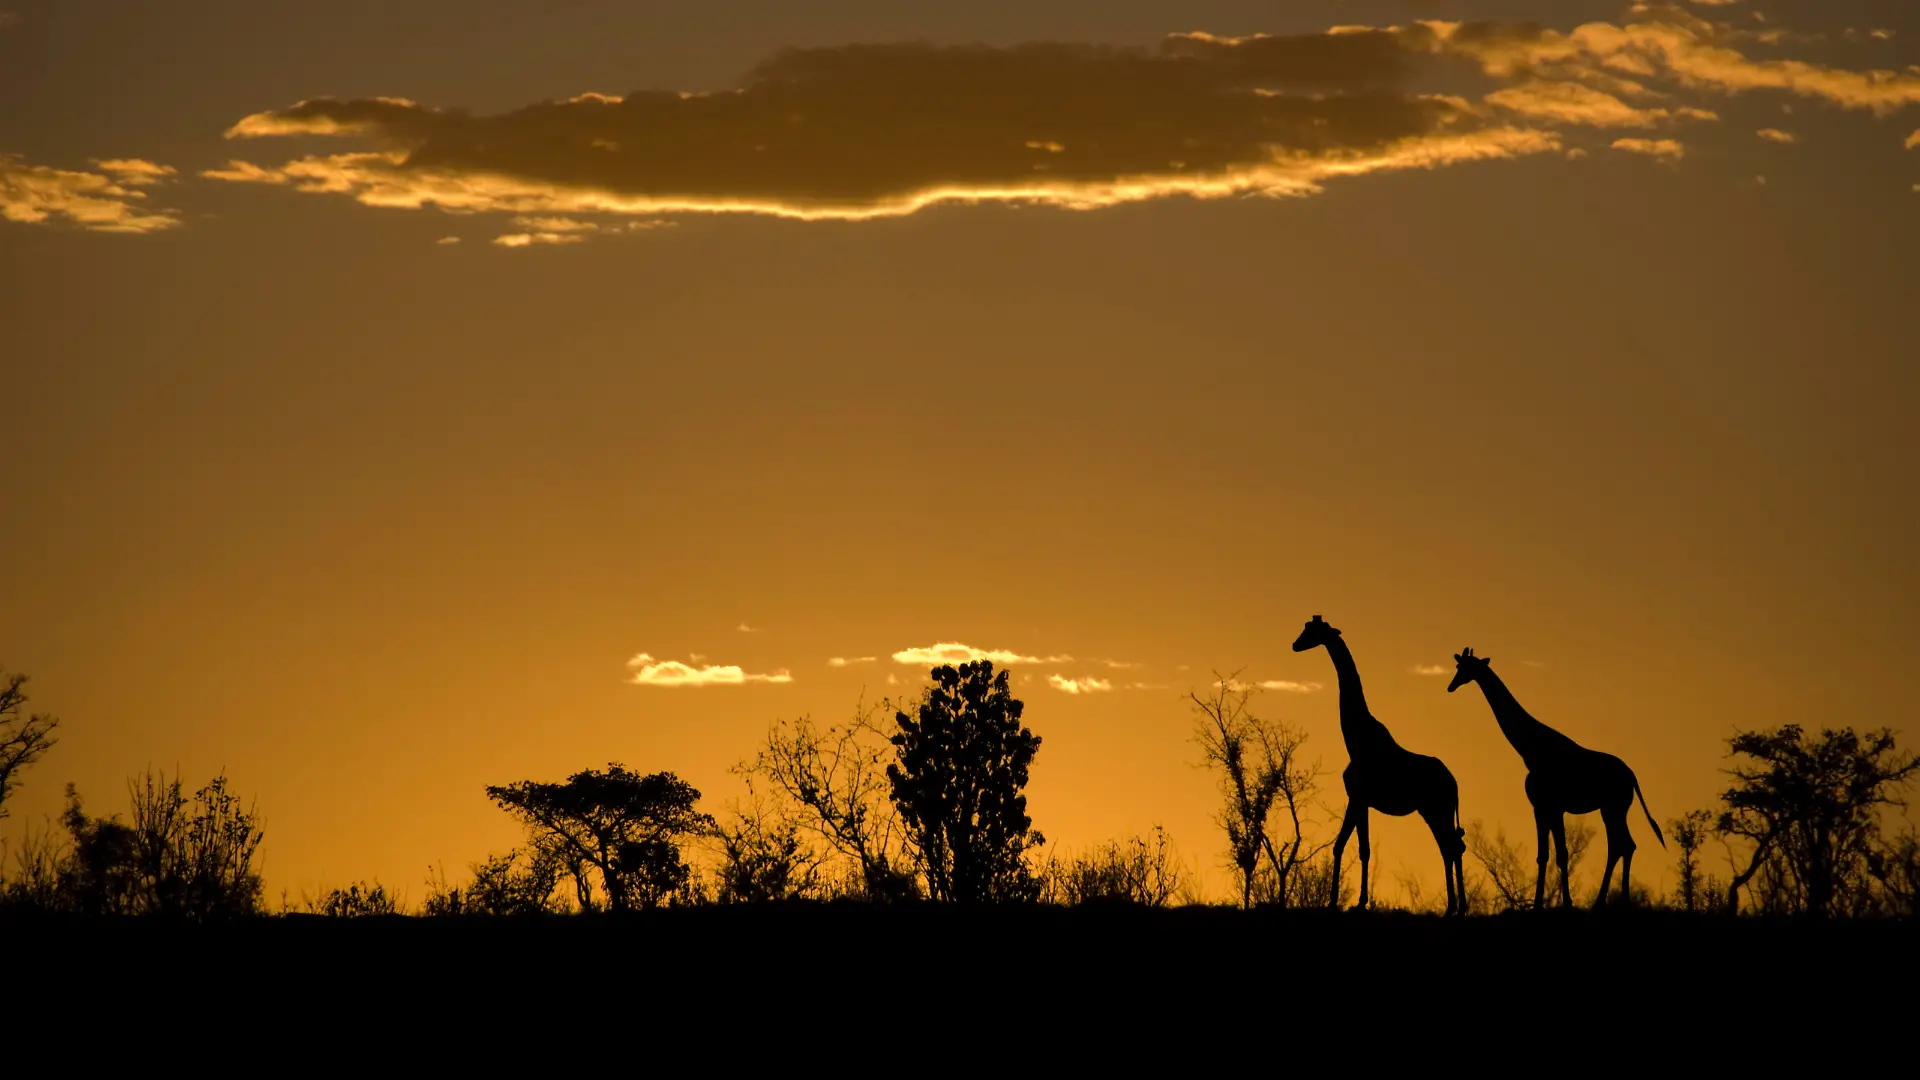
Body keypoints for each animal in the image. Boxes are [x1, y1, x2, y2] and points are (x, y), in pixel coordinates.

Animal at [1293, 615, 1467, 915]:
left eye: (1312, 630)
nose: (1295, 645)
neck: (1355, 739)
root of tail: (1454, 783)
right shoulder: (1358, 799)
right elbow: (1350, 846)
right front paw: (1344, 901)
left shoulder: (1358, 797)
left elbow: (1355, 847)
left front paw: (1350, 902)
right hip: (1435, 810)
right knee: (1453, 845)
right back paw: (1458, 907)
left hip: (1436, 809)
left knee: (1451, 847)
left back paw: (1454, 908)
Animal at [1447, 648, 1664, 908]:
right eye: (1458, 667)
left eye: (1466, 668)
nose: (1451, 686)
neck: (1529, 749)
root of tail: (1631, 775)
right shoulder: (1540, 808)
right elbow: (1544, 856)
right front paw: (1538, 904)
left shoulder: (1555, 807)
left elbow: (1562, 854)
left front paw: (1567, 903)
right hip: (1611, 808)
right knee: (1622, 845)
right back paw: (1609, 901)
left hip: (1614, 807)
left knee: (1623, 845)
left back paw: (1616, 901)